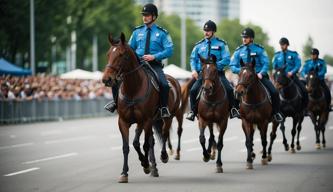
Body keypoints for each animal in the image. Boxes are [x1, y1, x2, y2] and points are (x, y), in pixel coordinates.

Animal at [102, 33, 183, 183]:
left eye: (121, 55)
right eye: (108, 54)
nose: (107, 79)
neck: (133, 89)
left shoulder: (146, 120)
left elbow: (143, 144)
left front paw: (145, 164)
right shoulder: (124, 122)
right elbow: (128, 146)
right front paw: (124, 173)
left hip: (167, 117)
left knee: (163, 134)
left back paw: (162, 157)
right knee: (148, 141)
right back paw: (153, 167)